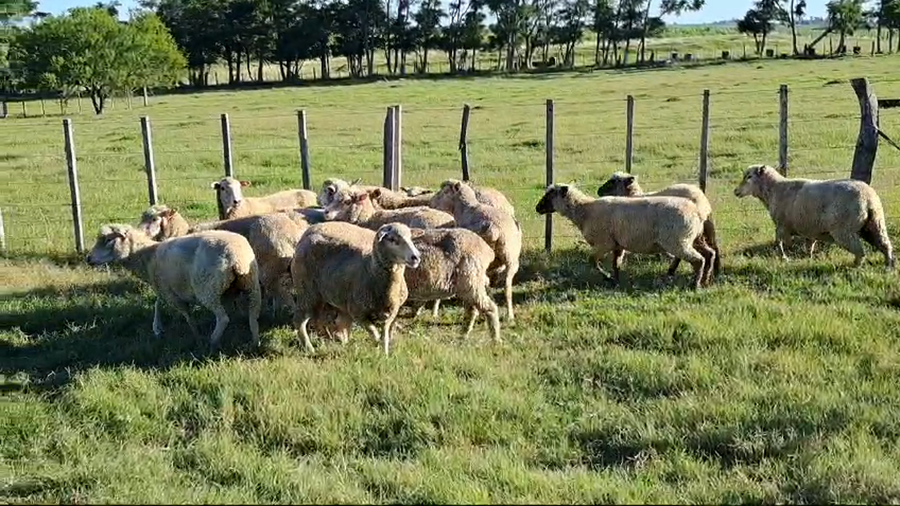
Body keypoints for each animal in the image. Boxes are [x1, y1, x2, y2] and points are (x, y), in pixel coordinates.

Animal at [85, 224, 261, 348]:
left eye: (108, 240)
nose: (88, 258)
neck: (148, 256)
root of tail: (236, 258)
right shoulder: (164, 288)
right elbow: (157, 303)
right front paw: (157, 328)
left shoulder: (170, 293)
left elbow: (187, 316)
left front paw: (196, 336)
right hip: (252, 285)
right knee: (253, 315)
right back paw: (255, 341)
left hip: (207, 290)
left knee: (223, 318)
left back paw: (211, 342)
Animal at [290, 221, 422, 355]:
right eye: (392, 239)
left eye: (411, 238)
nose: (416, 257)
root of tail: (309, 231)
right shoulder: (357, 312)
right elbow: (374, 332)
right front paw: (377, 346)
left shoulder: (391, 312)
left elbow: (384, 336)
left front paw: (384, 354)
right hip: (307, 291)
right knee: (299, 320)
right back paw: (309, 348)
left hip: (323, 297)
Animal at [429, 179, 522, 322]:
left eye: (445, 192)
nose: (431, 203)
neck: (466, 208)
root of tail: (497, 230)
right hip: (511, 258)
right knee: (507, 287)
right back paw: (509, 315)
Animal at [535, 184, 716, 289]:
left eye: (550, 195)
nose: (537, 208)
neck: (584, 211)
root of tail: (698, 211)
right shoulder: (617, 244)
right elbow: (616, 264)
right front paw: (615, 280)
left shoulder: (604, 243)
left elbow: (592, 261)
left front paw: (607, 278)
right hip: (694, 238)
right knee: (709, 254)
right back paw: (705, 280)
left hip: (678, 241)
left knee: (698, 260)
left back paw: (695, 284)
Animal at [733, 164, 895, 269]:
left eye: (749, 176)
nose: (736, 191)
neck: (774, 190)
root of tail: (868, 198)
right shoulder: (808, 228)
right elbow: (809, 246)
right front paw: (809, 259)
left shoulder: (782, 225)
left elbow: (780, 242)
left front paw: (784, 258)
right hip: (875, 224)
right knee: (885, 245)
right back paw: (888, 266)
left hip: (844, 230)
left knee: (860, 251)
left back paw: (855, 267)